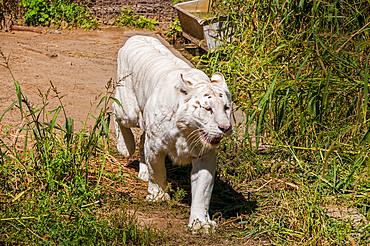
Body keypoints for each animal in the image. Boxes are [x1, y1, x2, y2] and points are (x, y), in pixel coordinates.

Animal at [114, 35, 233, 232]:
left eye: (226, 108)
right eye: (208, 109)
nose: (225, 128)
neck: (187, 132)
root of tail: (136, 36)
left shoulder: (205, 155)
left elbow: (202, 190)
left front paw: (200, 223)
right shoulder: (155, 146)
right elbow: (157, 171)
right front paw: (158, 197)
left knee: (141, 138)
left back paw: (143, 173)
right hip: (128, 111)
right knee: (114, 110)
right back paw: (125, 147)